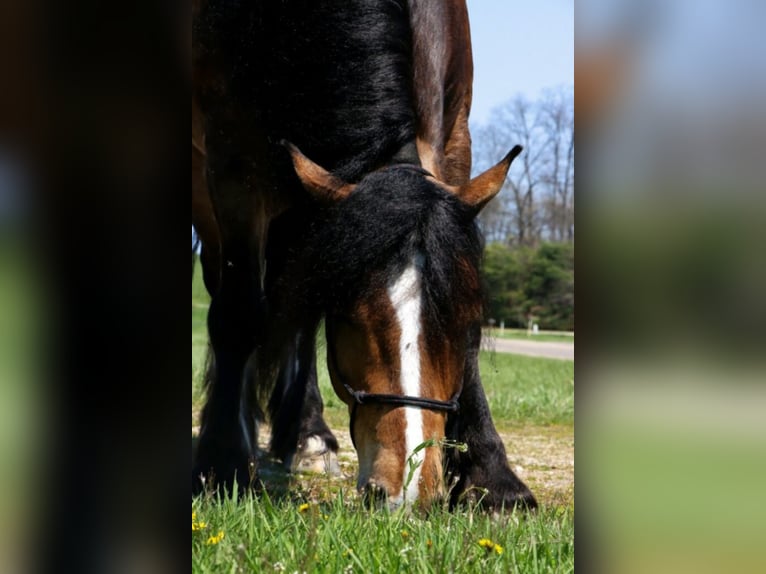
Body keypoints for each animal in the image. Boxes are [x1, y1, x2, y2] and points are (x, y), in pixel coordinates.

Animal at [195, 0, 536, 512]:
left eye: (461, 314)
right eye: (351, 316)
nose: (406, 489)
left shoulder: (454, 135)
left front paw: (495, 482)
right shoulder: (229, 159)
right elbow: (238, 315)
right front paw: (223, 464)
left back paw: (308, 437)